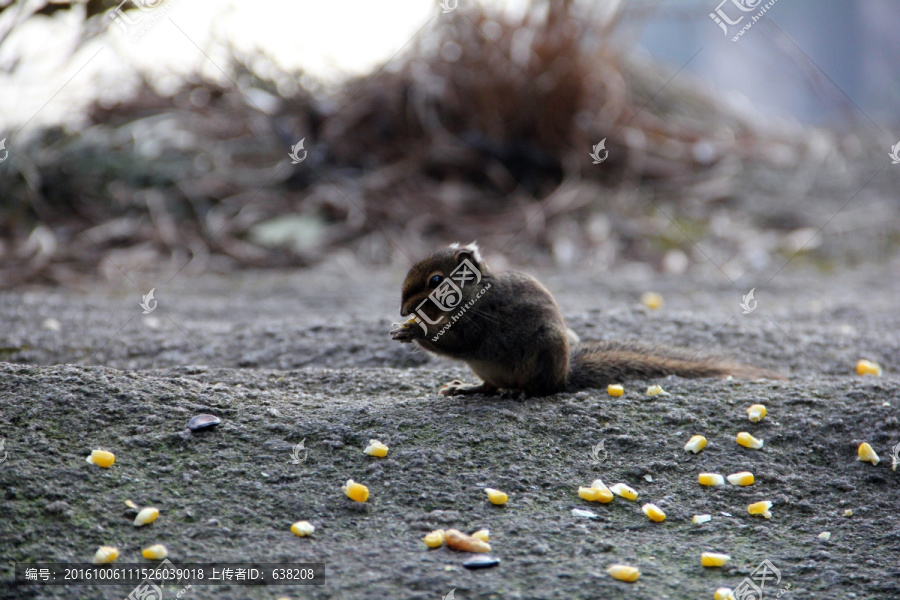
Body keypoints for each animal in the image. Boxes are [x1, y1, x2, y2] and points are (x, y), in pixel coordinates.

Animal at [390, 241, 784, 396]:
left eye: (436, 281)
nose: (403, 310)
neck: (474, 293)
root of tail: (566, 374)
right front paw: (403, 328)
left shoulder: (476, 323)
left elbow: (455, 342)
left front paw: (415, 331)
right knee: (488, 386)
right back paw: (466, 389)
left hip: (543, 355)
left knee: (540, 389)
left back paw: (521, 393)